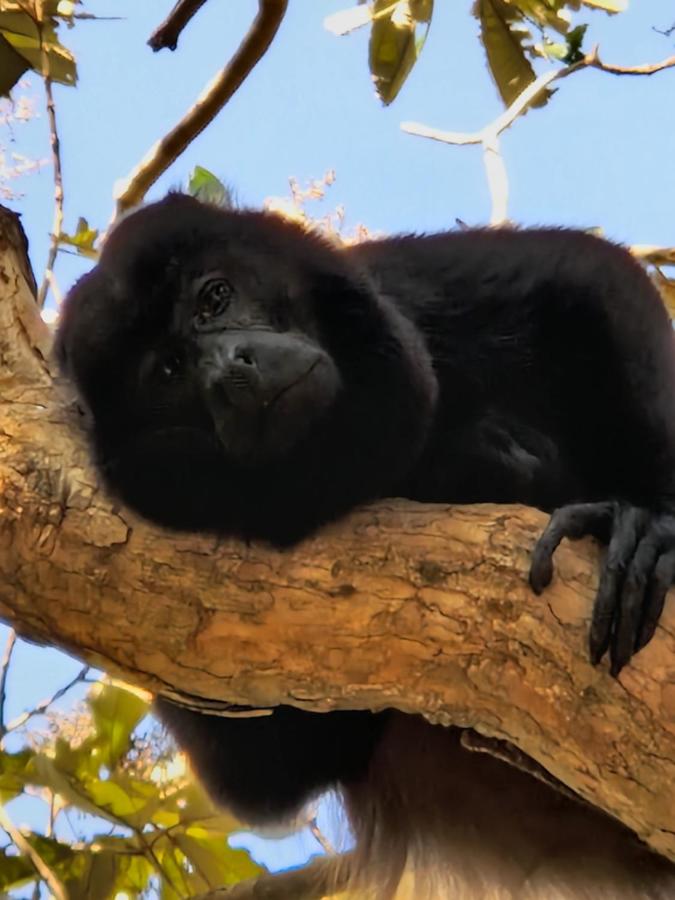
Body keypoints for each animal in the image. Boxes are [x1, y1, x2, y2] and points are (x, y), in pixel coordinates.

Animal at [55, 193, 675, 896]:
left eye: (215, 297)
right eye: (169, 370)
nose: (231, 367)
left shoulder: (409, 287)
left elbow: (585, 274)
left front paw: (650, 523)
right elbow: (265, 777)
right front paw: (477, 463)